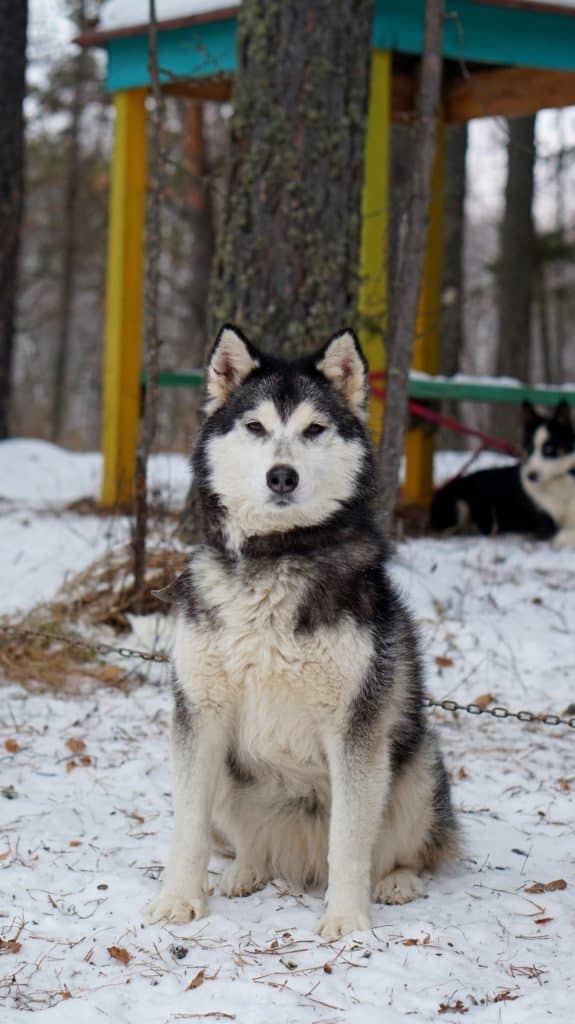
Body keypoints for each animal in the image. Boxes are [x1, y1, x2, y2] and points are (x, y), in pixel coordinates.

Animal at [147, 325, 456, 937]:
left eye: (314, 429)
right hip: (230, 779)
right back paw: (246, 869)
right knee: (251, 843)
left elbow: (350, 842)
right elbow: (187, 828)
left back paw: (397, 881)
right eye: (256, 427)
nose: (281, 476)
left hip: (416, 765)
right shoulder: (199, 714)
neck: (276, 556)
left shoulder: (354, 725)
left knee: (406, 850)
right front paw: (179, 900)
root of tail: (299, 857)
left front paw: (346, 919)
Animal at [429, 397, 572, 548]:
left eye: (549, 448)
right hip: (459, 504)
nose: (531, 476)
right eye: (528, 448)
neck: (557, 481)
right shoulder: (546, 526)